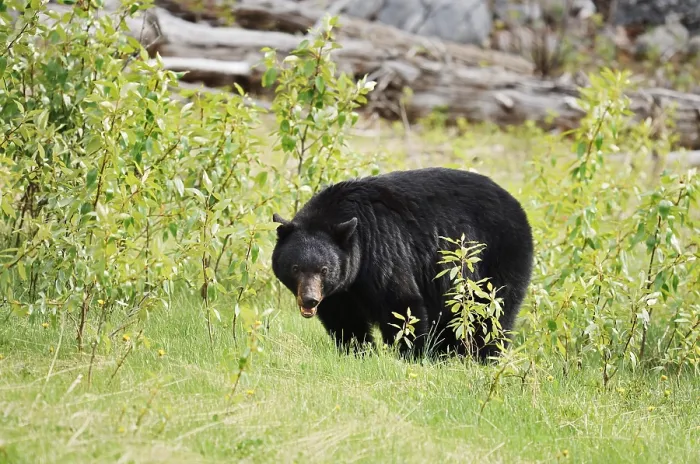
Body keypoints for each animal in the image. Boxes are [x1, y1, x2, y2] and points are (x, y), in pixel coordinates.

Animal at [271, 167, 534, 361]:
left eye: (324, 269)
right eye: (295, 268)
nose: (309, 300)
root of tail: (517, 206)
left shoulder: (381, 249)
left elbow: (400, 302)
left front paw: (410, 354)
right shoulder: (341, 289)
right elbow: (345, 318)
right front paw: (357, 351)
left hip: (497, 258)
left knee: (493, 313)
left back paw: (484, 356)